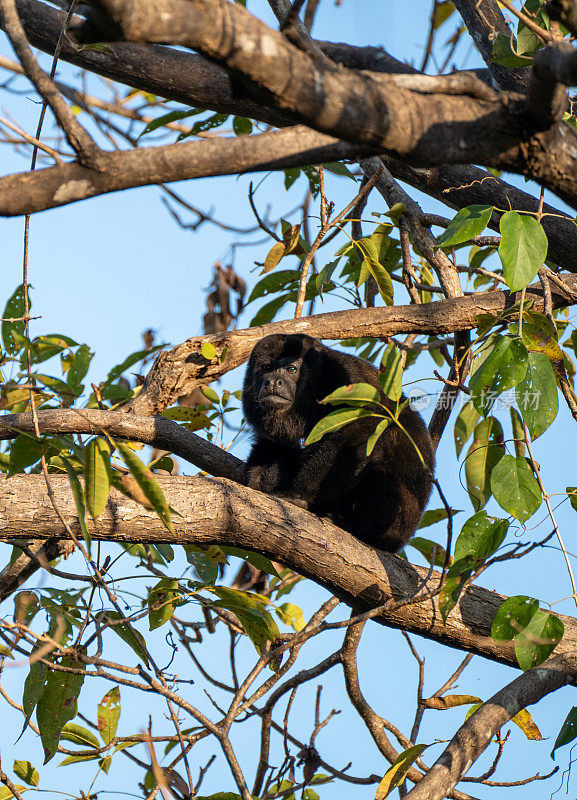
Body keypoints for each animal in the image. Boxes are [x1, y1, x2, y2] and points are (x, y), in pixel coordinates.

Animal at [241, 332, 434, 552]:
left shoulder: (345, 377)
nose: (272, 381)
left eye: (291, 369)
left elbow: (359, 431)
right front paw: (256, 477)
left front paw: (298, 496)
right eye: (265, 368)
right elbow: (273, 444)